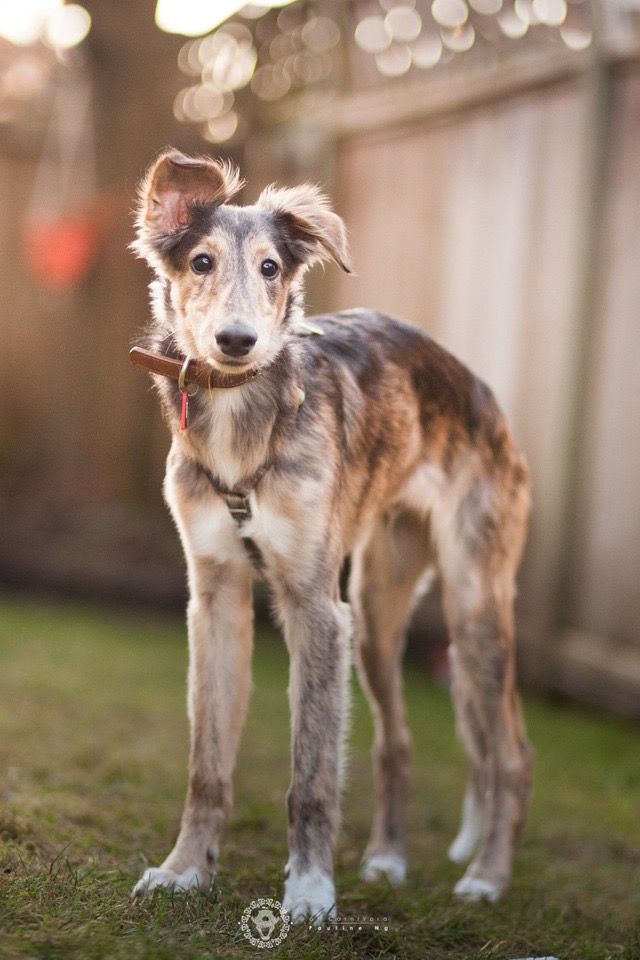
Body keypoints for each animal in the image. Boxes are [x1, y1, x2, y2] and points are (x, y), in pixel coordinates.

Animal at [130, 146, 536, 920]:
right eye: (200, 261)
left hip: (474, 608)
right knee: (397, 743)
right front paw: (185, 869)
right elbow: (207, 767)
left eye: (271, 267)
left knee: (509, 754)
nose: (236, 341)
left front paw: (311, 891)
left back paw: (490, 876)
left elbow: (312, 774)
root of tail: (485, 395)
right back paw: (387, 860)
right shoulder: (216, 599)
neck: (245, 415)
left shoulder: (316, 609)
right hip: (376, 615)